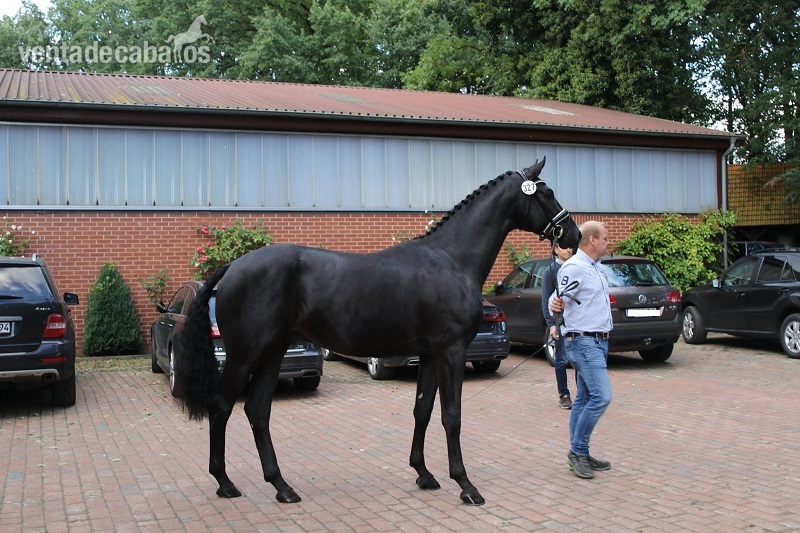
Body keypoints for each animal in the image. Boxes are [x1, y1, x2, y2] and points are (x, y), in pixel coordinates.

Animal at [175, 157, 580, 506]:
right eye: (546, 192)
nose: (573, 235)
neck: (450, 259)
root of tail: (232, 267)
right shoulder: (450, 351)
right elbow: (452, 415)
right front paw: (466, 485)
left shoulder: (430, 354)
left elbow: (423, 410)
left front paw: (423, 474)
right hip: (245, 355)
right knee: (222, 407)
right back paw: (225, 483)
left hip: (272, 353)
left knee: (258, 412)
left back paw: (282, 486)